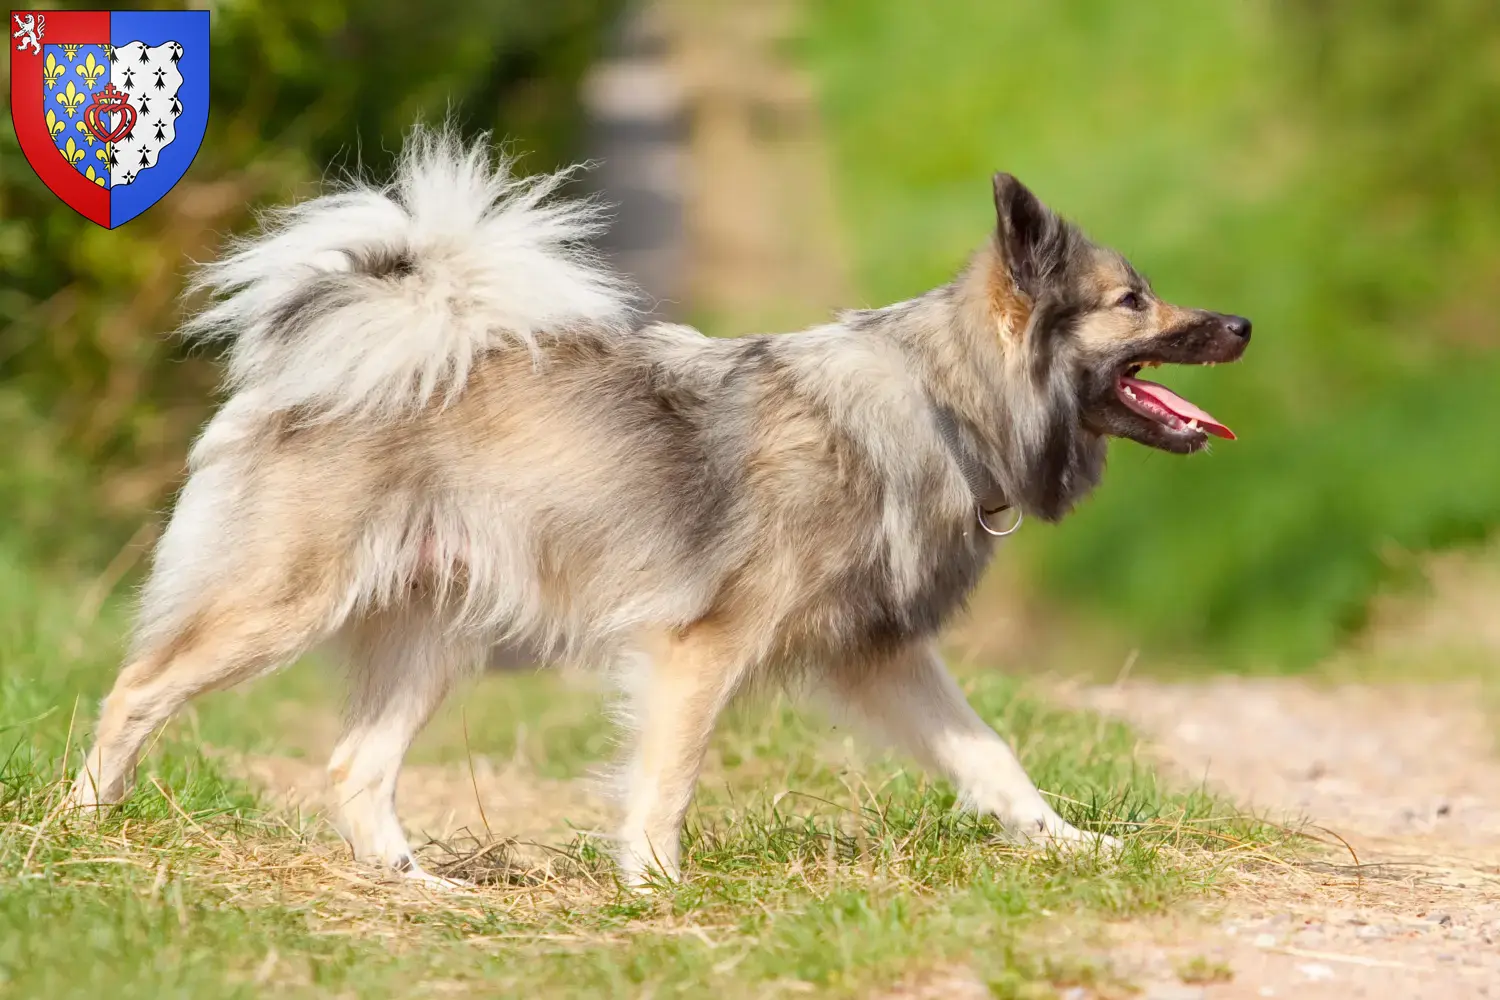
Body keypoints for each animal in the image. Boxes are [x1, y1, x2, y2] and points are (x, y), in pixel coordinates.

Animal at [64, 125, 1248, 881]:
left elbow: (992, 757)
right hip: (280, 605)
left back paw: (418, 883)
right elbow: (668, 776)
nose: (1240, 323)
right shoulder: (700, 649)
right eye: (1133, 301)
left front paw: (1067, 844)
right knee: (135, 691)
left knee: (358, 769)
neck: (942, 404)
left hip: (436, 636)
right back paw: (77, 826)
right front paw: (656, 884)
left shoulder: (884, 658)